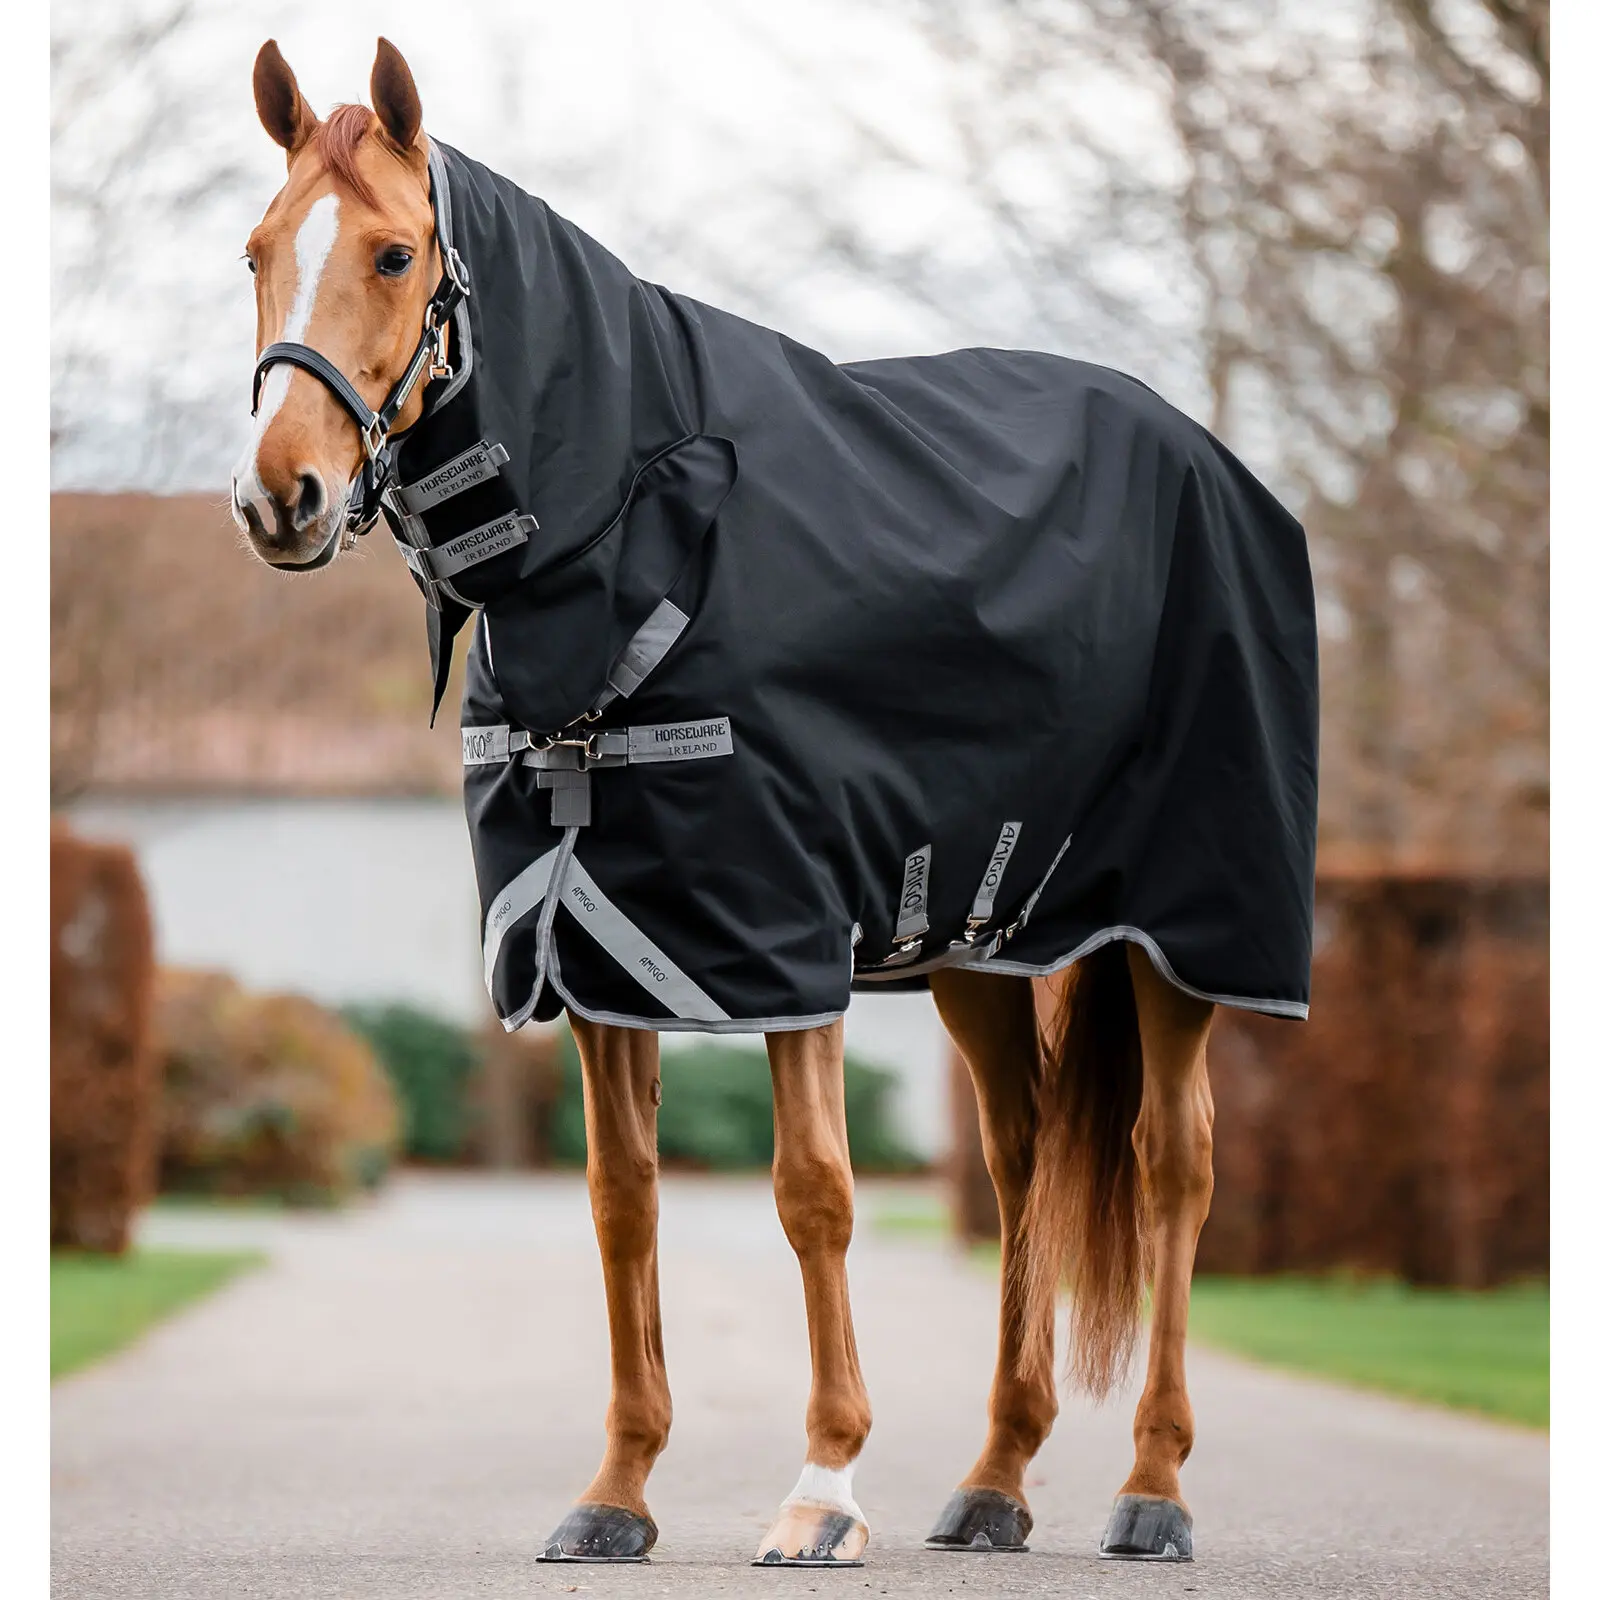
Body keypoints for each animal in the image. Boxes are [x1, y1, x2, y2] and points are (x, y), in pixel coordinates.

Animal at [231, 36, 1316, 1568]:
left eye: (393, 252)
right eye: (258, 252)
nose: (282, 495)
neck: (634, 526)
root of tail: (1213, 462)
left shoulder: (784, 934)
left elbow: (814, 1194)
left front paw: (823, 1488)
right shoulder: (599, 943)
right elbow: (622, 1204)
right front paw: (616, 1493)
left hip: (1185, 934)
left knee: (1174, 1168)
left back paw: (1153, 1489)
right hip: (976, 946)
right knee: (1024, 1159)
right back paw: (994, 1479)